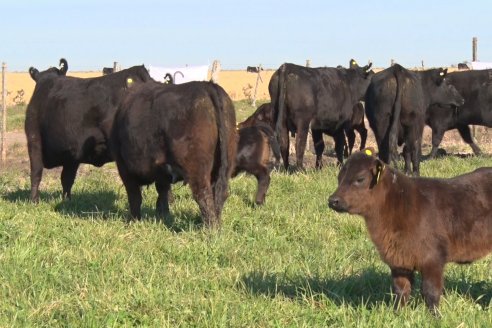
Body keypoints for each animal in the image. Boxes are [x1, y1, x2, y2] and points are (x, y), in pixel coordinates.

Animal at [24, 64, 152, 202]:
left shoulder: (34, 139)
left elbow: (36, 172)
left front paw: (34, 201)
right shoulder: (73, 153)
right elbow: (67, 179)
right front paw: (66, 201)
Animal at [110, 80, 237, 228]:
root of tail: (206, 85)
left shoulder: (124, 168)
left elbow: (135, 196)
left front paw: (134, 221)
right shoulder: (161, 170)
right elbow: (163, 193)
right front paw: (163, 217)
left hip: (197, 167)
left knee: (204, 195)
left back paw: (211, 230)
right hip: (226, 162)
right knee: (219, 193)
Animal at [326, 150, 492, 312]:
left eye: (360, 178)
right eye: (339, 177)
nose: (333, 200)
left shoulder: (433, 258)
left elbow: (431, 292)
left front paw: (434, 316)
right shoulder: (399, 261)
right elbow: (401, 291)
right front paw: (397, 313)